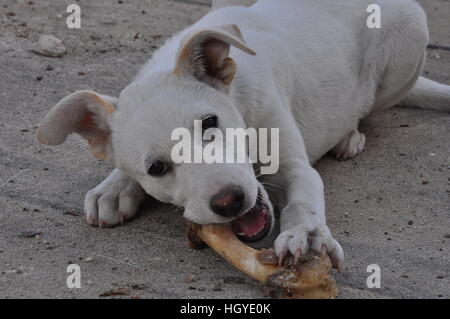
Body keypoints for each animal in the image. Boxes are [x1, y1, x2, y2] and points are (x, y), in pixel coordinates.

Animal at [35, 0, 450, 272]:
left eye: (210, 123)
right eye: (155, 168)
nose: (229, 201)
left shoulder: (296, 166)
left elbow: (303, 199)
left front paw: (307, 234)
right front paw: (114, 187)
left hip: (409, 39)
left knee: (370, 107)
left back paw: (349, 134)